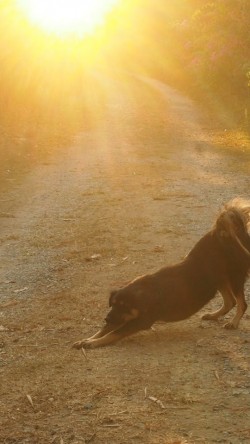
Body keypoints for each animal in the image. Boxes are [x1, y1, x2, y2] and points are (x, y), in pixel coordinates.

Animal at [73, 199, 250, 350]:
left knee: (241, 303)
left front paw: (93, 343)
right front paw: (87, 339)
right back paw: (213, 315)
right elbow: (104, 330)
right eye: (113, 304)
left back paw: (233, 323)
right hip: (218, 277)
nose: (107, 318)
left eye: (125, 306)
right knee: (230, 301)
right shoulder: (123, 317)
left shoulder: (141, 320)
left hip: (234, 277)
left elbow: (112, 333)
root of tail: (236, 231)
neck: (145, 292)